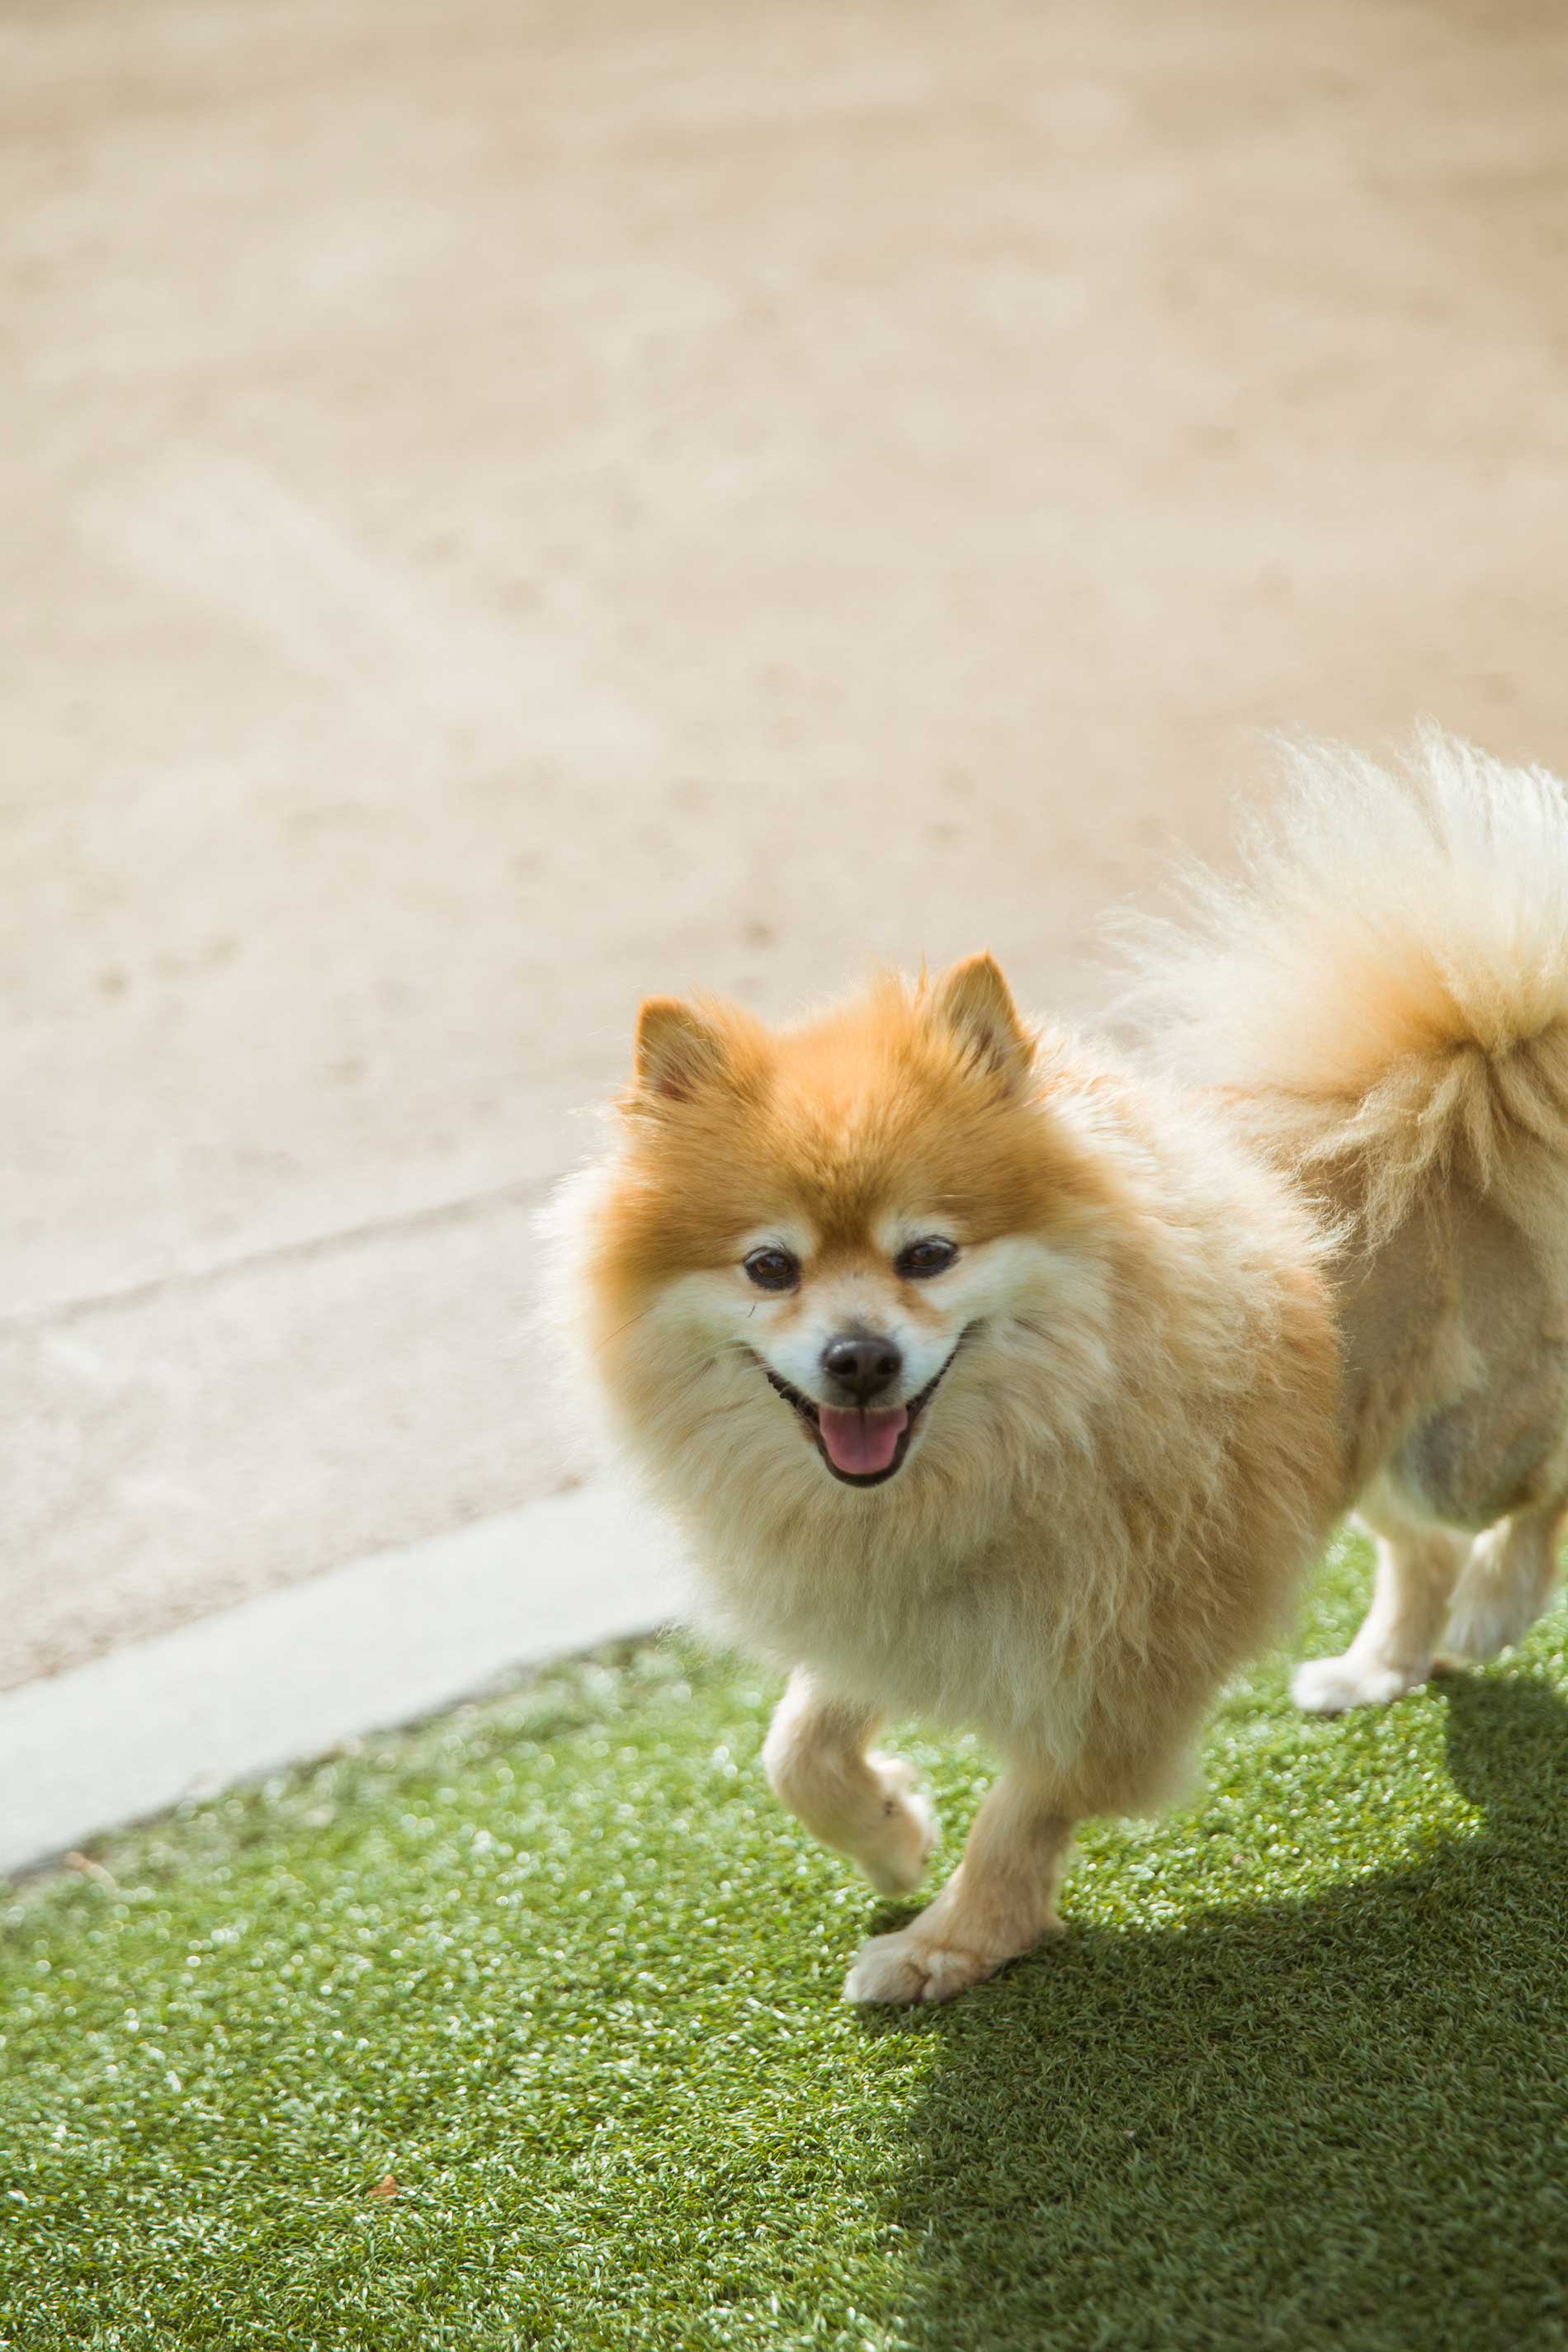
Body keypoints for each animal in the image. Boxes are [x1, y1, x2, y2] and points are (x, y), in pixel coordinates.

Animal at [550, 734, 1568, 2004]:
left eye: (928, 1254)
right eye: (770, 1267)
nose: (858, 1356)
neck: (1002, 1454)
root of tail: (1467, 1070)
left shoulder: (1115, 1662)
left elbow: (1022, 1812)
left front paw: (949, 1942)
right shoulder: (891, 1601)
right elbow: (796, 1751)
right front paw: (891, 1835)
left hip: (1461, 1447)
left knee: (1535, 1486)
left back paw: (1496, 1600)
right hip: (1359, 1437)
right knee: (1417, 1545)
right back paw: (1380, 1666)